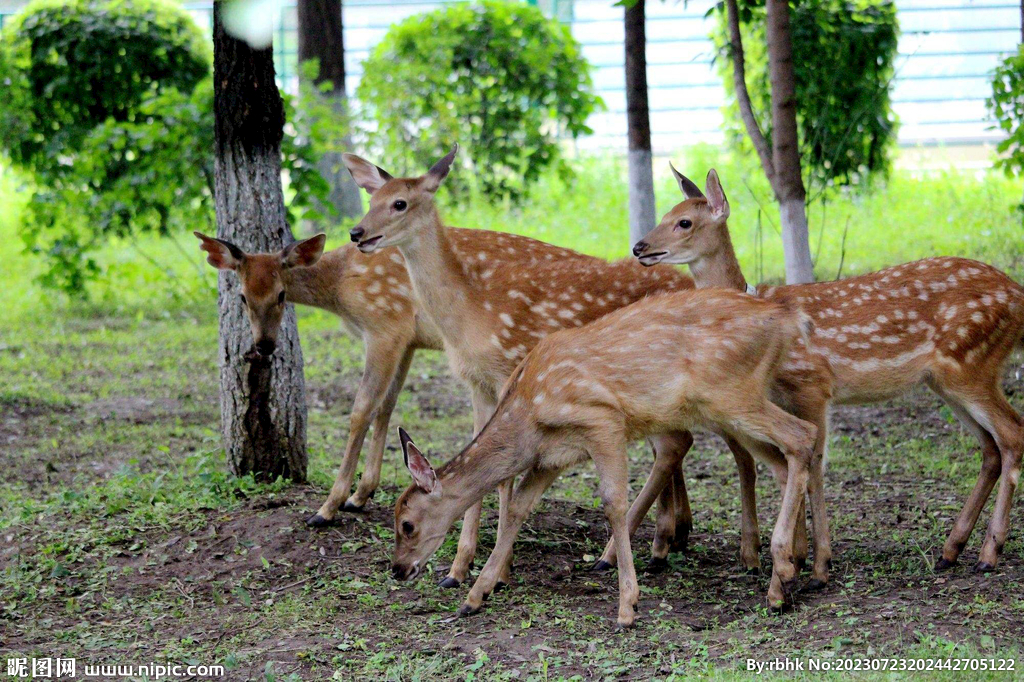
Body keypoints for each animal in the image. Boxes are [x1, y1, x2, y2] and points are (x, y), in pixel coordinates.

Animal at [387, 284, 819, 622]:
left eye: (407, 524)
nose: (397, 570)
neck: (528, 415)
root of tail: (788, 319)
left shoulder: (603, 421)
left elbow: (612, 503)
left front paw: (627, 606)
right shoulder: (552, 458)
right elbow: (517, 509)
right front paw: (475, 596)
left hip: (731, 394)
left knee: (804, 435)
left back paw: (781, 575)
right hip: (729, 406)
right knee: (785, 460)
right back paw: (788, 576)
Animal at [630, 166, 1024, 569]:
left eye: (684, 222)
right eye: (664, 213)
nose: (639, 247)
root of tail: (1018, 296)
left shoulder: (813, 383)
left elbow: (815, 463)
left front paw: (818, 561)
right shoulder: (781, 394)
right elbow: (790, 463)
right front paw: (799, 555)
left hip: (970, 365)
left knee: (1011, 434)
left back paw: (989, 552)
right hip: (947, 379)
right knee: (990, 447)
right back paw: (952, 549)